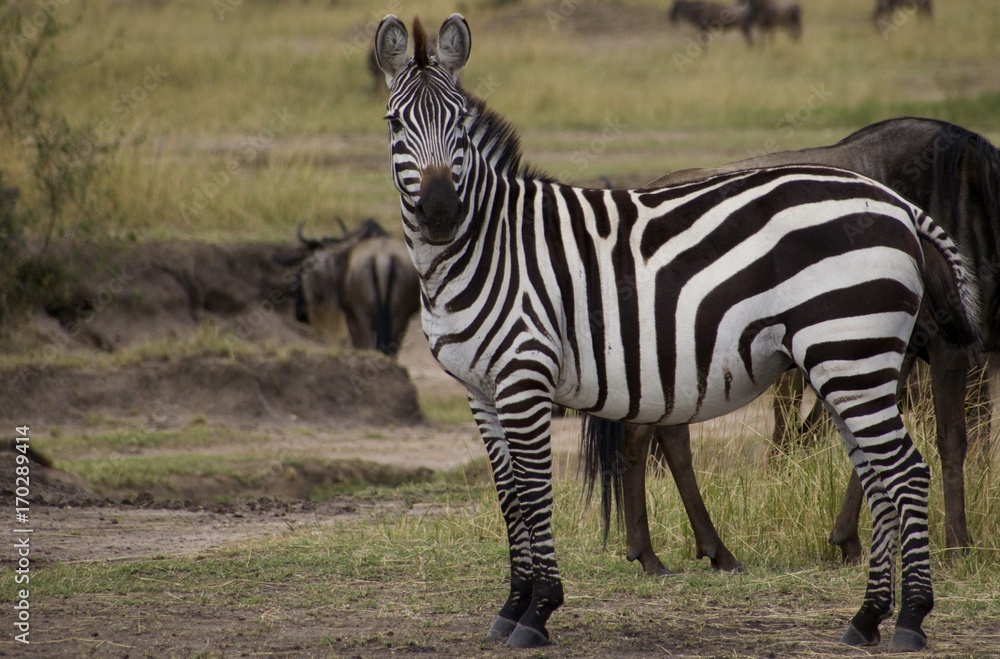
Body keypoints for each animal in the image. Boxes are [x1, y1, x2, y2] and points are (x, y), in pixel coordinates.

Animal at [373, 13, 979, 651]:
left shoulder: (524, 375)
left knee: (905, 473)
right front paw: (512, 606)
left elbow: (535, 495)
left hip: (851, 354)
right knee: (878, 477)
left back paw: (911, 619)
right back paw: (866, 618)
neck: (488, 246)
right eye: (395, 123)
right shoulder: (480, 388)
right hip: (847, 360)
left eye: (459, 122)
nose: (441, 213)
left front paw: (538, 611)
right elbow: (510, 497)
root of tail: (895, 202)